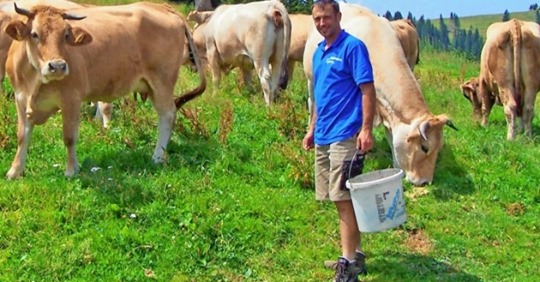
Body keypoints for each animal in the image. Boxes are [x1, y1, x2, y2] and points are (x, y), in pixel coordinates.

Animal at [4, 2, 206, 178]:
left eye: (66, 35)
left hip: (162, 81)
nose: (58, 66)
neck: (34, 81)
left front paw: (71, 170)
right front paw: (15, 171)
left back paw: (157, 156)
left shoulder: (71, 99)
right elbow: (22, 136)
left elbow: (69, 137)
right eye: (34, 34)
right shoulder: (20, 98)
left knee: (167, 115)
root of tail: (161, 6)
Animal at [304, 3, 456, 187]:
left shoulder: (389, 112)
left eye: (439, 148)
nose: (425, 181)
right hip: (311, 81)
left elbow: (391, 138)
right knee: (313, 104)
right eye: (425, 147)